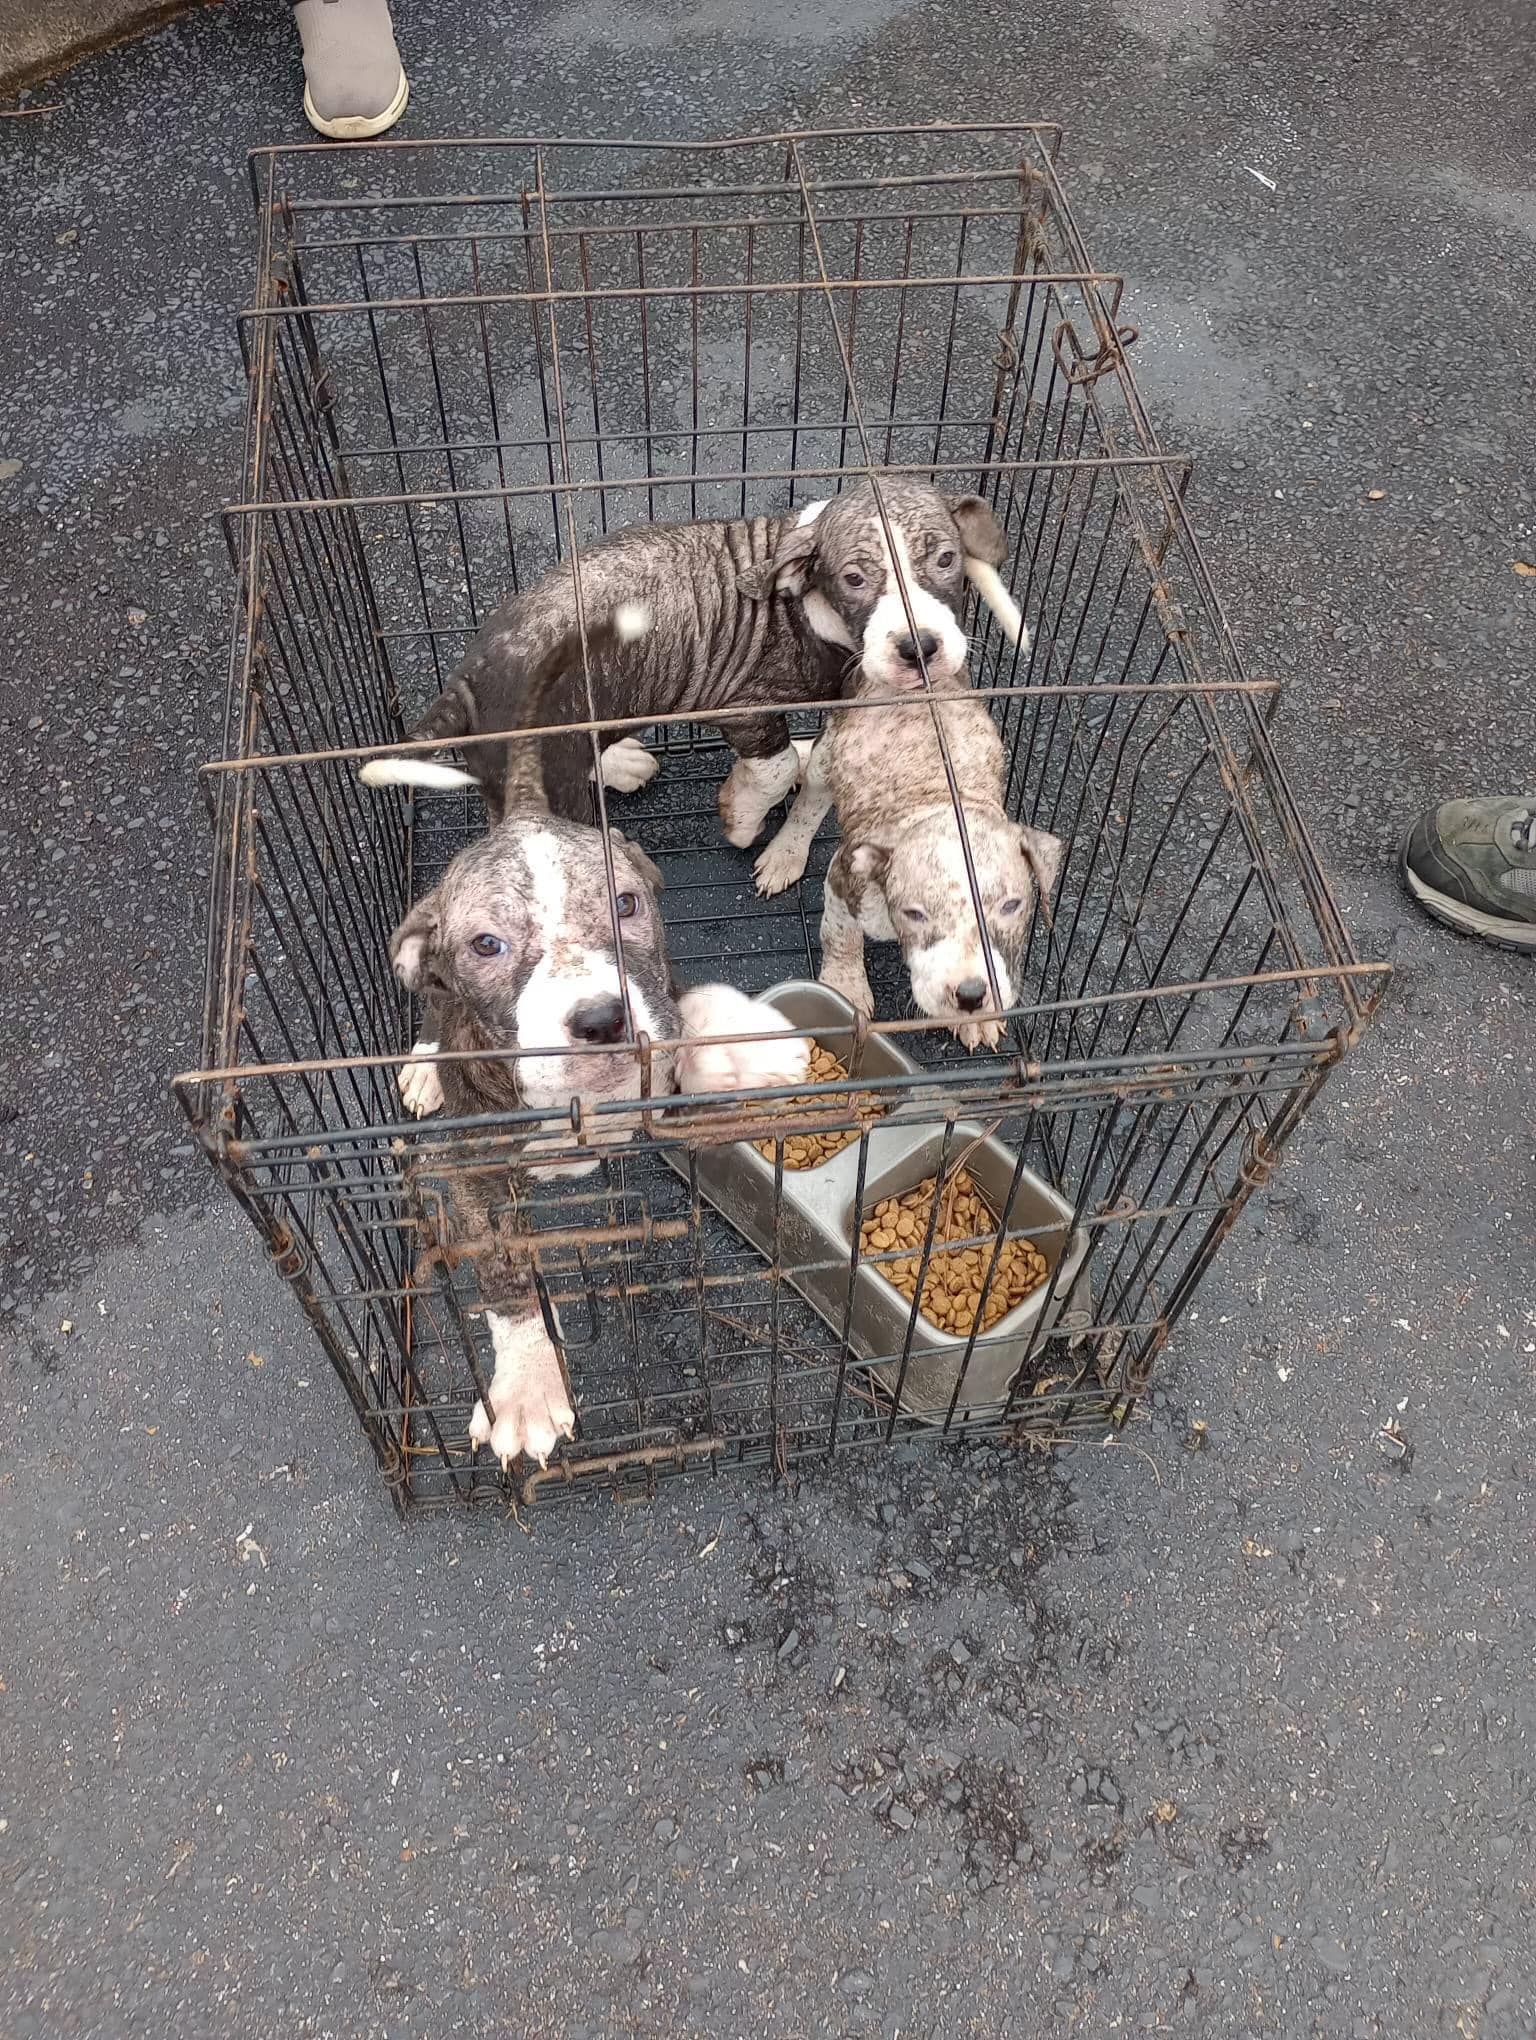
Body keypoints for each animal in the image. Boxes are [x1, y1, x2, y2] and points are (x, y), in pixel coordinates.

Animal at [348, 481, 1019, 848]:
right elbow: (774, 766)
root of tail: (466, 681)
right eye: (854, 579)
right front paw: (742, 819)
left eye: (946, 559)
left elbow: (812, 758)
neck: (804, 599)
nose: (919, 648)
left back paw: (618, 761)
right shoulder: (741, 705)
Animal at [391, 795, 803, 1468]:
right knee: (432, 1006)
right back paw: (426, 1067)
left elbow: (683, 1009)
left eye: (626, 905)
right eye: (487, 944)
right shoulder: (474, 1173)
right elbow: (505, 1273)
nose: (602, 1019)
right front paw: (527, 1385)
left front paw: (737, 1046)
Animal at [750, 669, 1060, 1052]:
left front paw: (977, 1020)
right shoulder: (845, 880)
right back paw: (785, 853)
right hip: (830, 750)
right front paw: (845, 988)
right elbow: (840, 936)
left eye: (1011, 906)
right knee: (811, 799)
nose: (971, 995)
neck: (942, 803)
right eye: (915, 913)